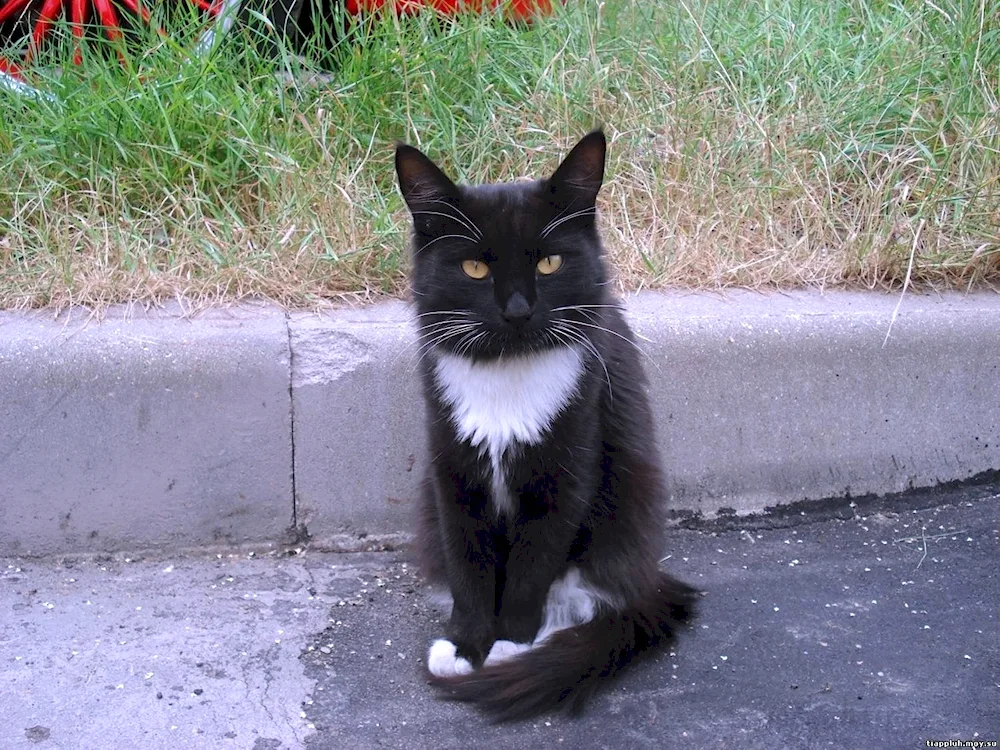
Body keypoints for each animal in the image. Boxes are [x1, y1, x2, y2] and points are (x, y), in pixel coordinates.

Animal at [392, 131, 696, 724]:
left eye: (551, 262)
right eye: (475, 269)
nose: (516, 311)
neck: (508, 374)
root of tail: (648, 580)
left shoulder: (568, 469)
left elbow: (533, 566)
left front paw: (508, 645)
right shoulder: (453, 471)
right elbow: (467, 562)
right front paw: (465, 644)